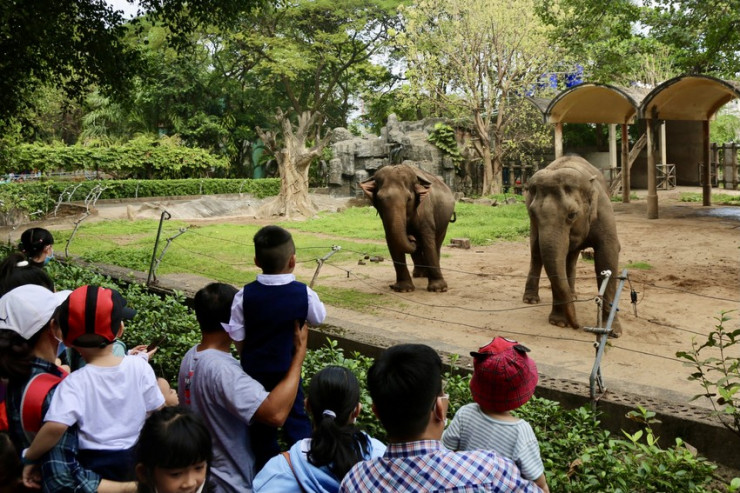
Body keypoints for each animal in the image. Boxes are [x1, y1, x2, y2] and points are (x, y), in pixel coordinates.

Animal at [524, 156, 620, 336]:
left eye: (572, 215)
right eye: (532, 213)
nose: (578, 326)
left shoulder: (603, 210)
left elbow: (608, 254)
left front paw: (612, 331)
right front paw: (559, 323)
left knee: (571, 256)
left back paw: (573, 295)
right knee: (536, 251)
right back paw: (530, 300)